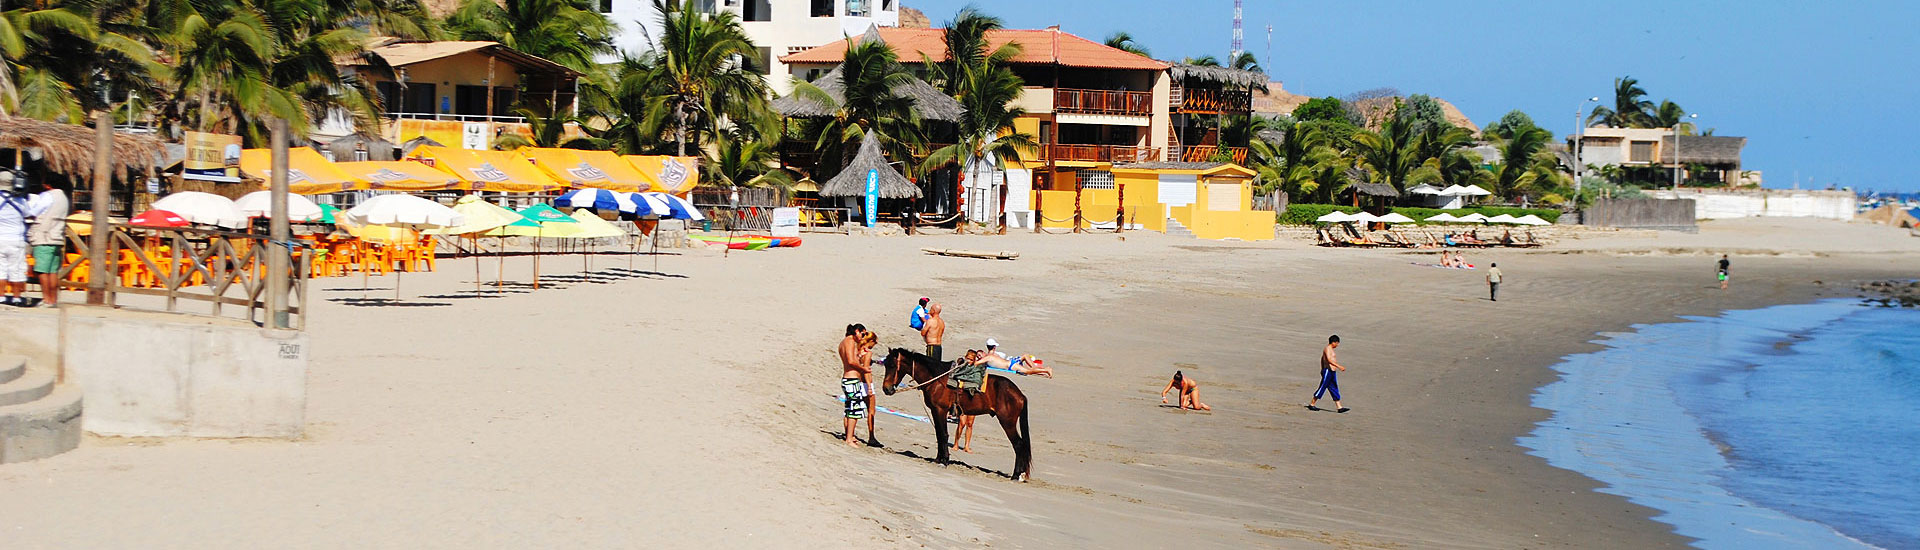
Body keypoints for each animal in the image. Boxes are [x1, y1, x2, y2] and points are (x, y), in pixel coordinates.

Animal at [883, 348, 1036, 480]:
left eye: (892, 365)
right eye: (885, 364)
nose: (886, 389)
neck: (937, 379)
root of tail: (1020, 394)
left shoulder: (940, 410)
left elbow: (943, 434)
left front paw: (944, 460)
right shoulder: (935, 411)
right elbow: (939, 434)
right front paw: (938, 459)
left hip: (1007, 422)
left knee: (1018, 444)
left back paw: (1016, 475)